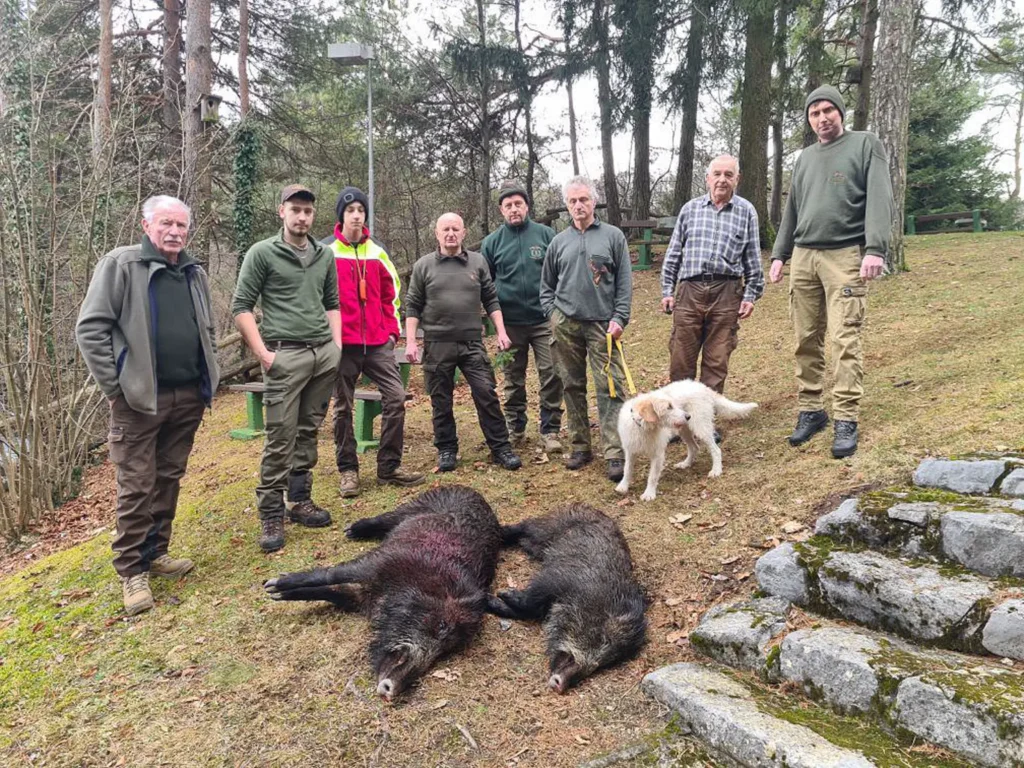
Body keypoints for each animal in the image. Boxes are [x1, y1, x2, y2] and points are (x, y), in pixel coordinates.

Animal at [264, 484, 500, 701]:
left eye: (447, 650)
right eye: (442, 626)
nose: (391, 690)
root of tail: (471, 490)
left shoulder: (359, 596)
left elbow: (331, 591)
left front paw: (276, 593)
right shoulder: (376, 562)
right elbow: (330, 574)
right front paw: (272, 585)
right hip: (410, 506)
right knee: (383, 520)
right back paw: (350, 531)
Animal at [487, 504, 647, 693]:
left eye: (608, 661)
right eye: (603, 638)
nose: (561, 685)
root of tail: (588, 507)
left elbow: (525, 612)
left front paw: (494, 599)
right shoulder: (554, 579)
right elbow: (529, 601)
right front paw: (501, 594)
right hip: (546, 526)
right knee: (523, 526)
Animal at [616, 380, 757, 500]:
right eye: (669, 407)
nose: (688, 416)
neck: (643, 428)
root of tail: (702, 387)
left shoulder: (658, 455)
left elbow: (652, 476)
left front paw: (649, 493)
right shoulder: (630, 451)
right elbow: (627, 470)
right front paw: (623, 486)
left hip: (701, 427)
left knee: (716, 450)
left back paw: (716, 470)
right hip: (684, 431)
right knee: (694, 448)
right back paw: (686, 464)